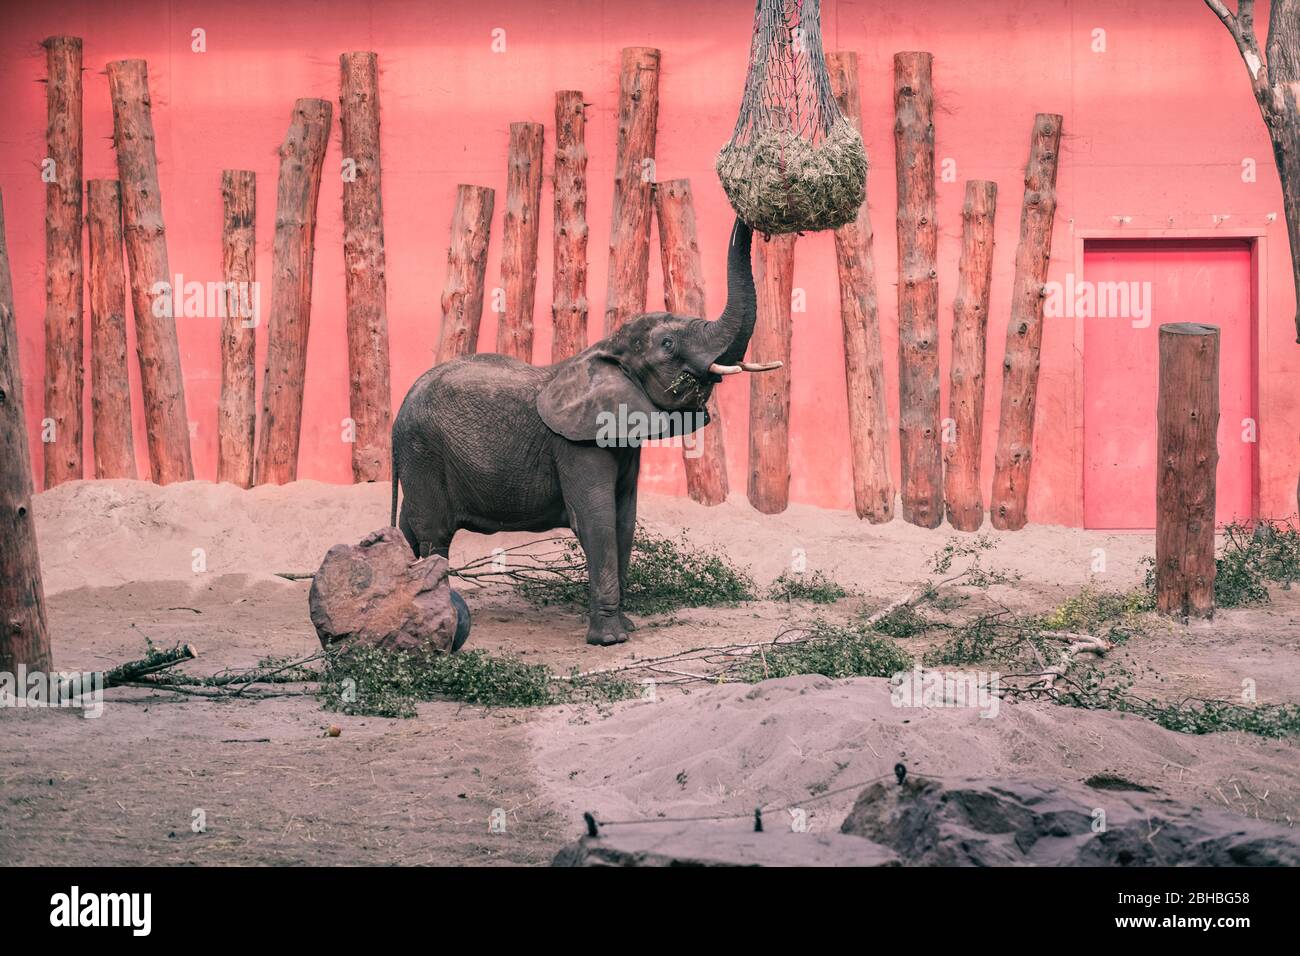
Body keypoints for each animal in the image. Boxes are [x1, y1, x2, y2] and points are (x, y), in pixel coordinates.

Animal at [390, 218, 774, 650]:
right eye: (667, 344)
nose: (748, 219)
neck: (606, 348)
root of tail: (399, 413)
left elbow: (624, 520)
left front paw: (627, 628)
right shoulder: (574, 445)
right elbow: (596, 520)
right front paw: (611, 640)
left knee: (409, 528)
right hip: (423, 451)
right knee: (434, 534)